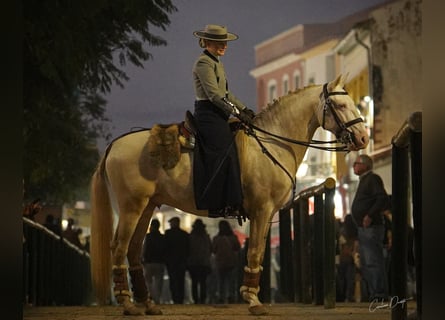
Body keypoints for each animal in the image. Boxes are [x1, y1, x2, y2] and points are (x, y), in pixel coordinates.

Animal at [89, 74, 368, 316]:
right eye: (340, 104)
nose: (363, 137)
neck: (270, 144)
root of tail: (115, 145)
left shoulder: (265, 215)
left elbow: (259, 252)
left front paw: (251, 294)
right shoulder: (261, 210)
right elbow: (254, 252)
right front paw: (253, 301)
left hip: (147, 207)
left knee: (134, 249)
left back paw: (147, 303)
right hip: (131, 207)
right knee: (119, 247)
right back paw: (128, 304)